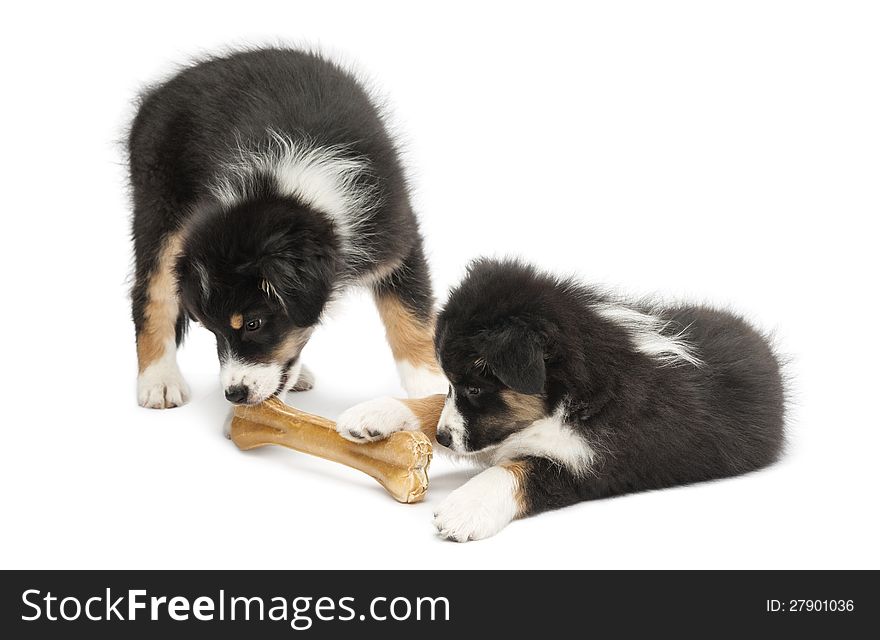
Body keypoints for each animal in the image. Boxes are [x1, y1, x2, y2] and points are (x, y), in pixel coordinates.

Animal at [129, 48, 446, 410]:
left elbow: (411, 317)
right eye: (212, 330)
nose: (234, 395)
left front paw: (432, 388)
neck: (288, 187)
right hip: (159, 208)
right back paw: (159, 380)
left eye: (253, 323)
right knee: (151, 295)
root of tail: (159, 90)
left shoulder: (396, 240)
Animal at [342, 260, 784, 540]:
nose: (443, 439)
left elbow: (518, 471)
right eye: (453, 382)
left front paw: (464, 508)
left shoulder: (590, 463)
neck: (571, 398)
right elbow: (436, 404)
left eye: (475, 388)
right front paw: (374, 414)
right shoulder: (494, 431)